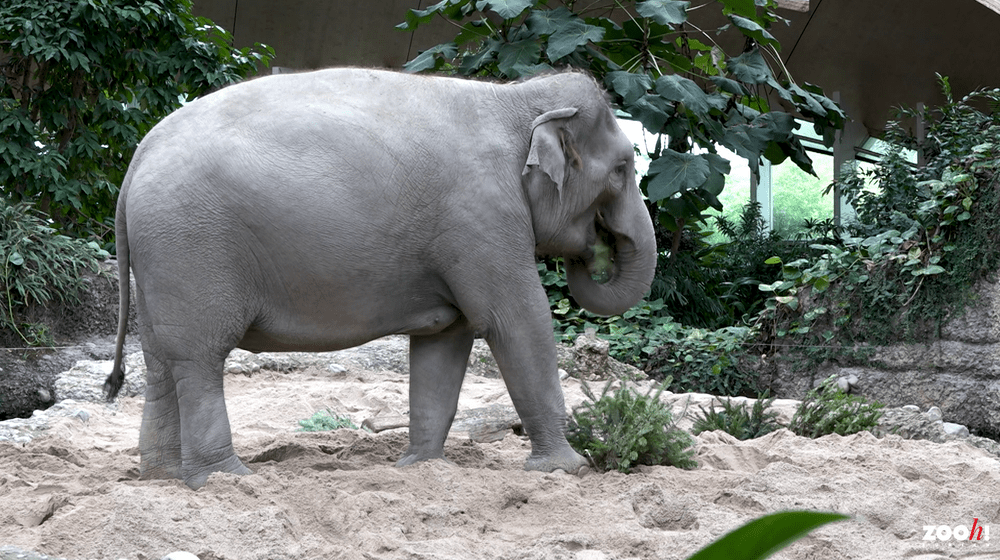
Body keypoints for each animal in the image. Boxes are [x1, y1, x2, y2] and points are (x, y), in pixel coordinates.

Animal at [103, 68, 657, 489]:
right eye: (622, 169)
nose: (596, 250)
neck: (513, 97)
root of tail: (139, 155)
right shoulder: (483, 218)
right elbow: (516, 321)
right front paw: (568, 469)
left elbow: (446, 339)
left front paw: (420, 467)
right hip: (190, 246)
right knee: (199, 358)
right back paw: (227, 480)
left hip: (162, 258)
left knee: (161, 361)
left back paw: (162, 478)